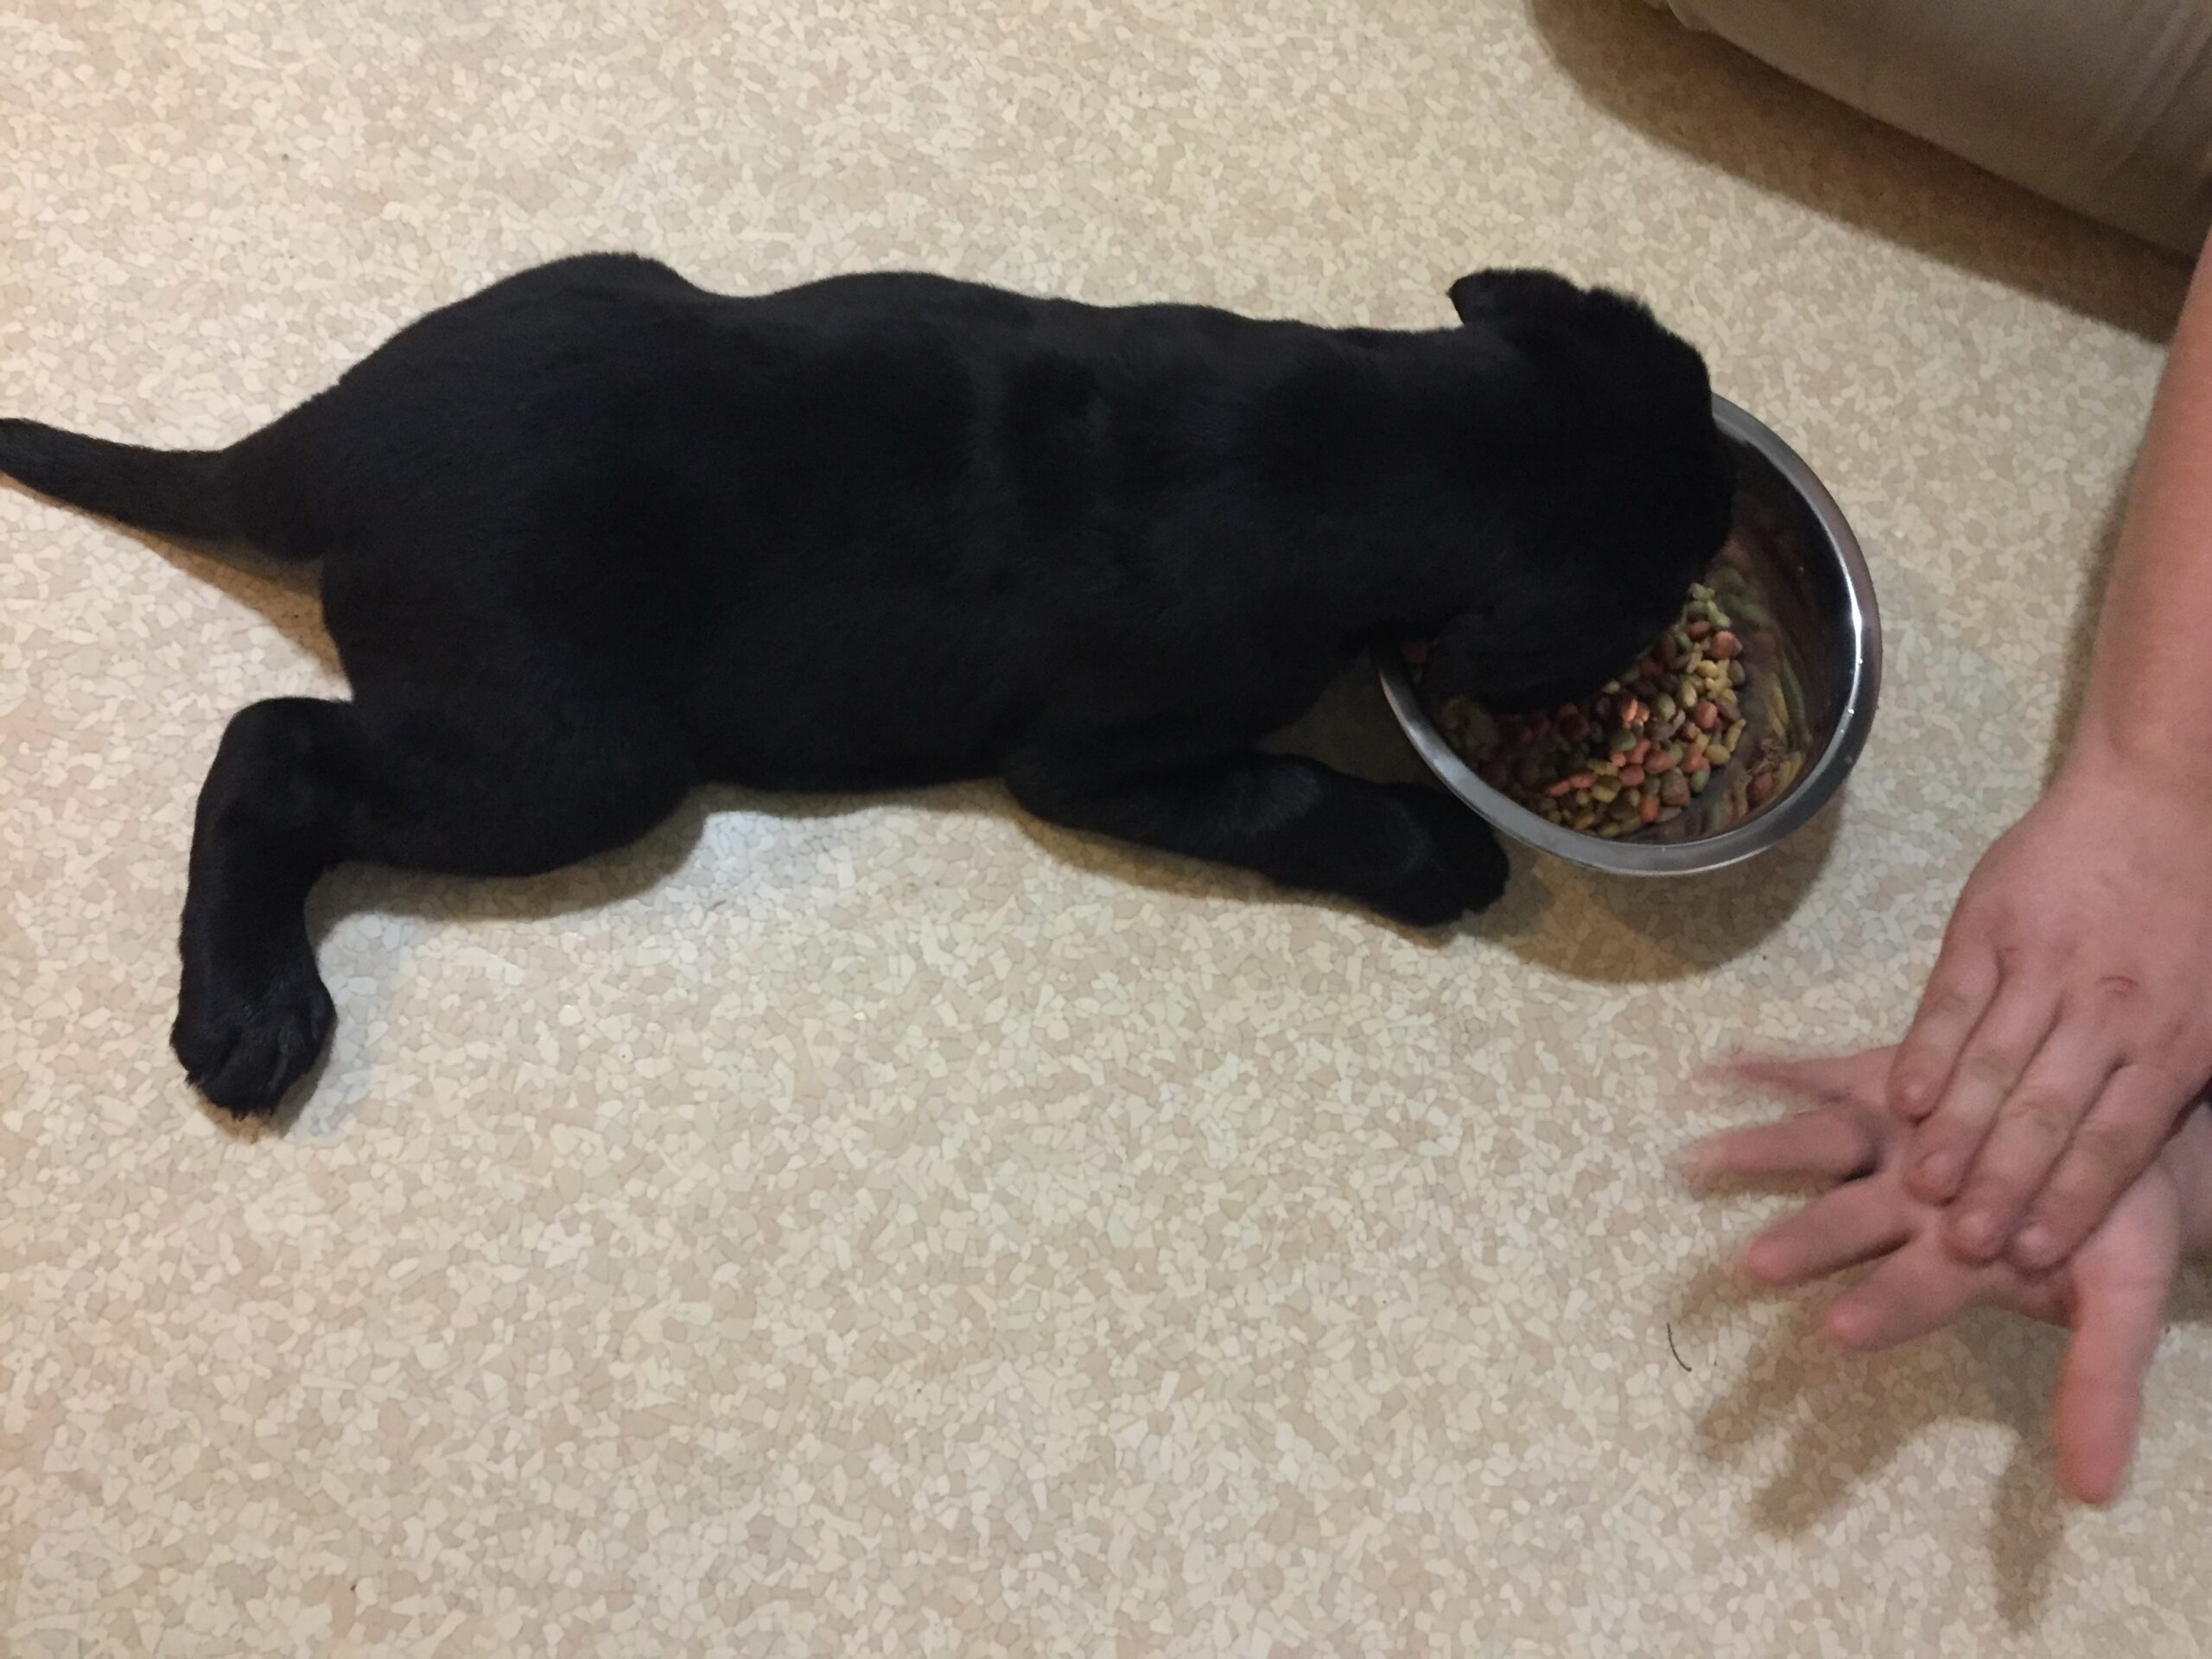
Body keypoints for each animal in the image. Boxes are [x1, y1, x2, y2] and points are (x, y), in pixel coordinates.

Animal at [0, 259, 1725, 1119]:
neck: (1383, 434)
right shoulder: (1103, 756)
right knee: (271, 747)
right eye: (1659, 581)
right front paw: (1437, 852)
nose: (1723, 525)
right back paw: (251, 1007)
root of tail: (315, 441)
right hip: (569, 751)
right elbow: (1293, 794)